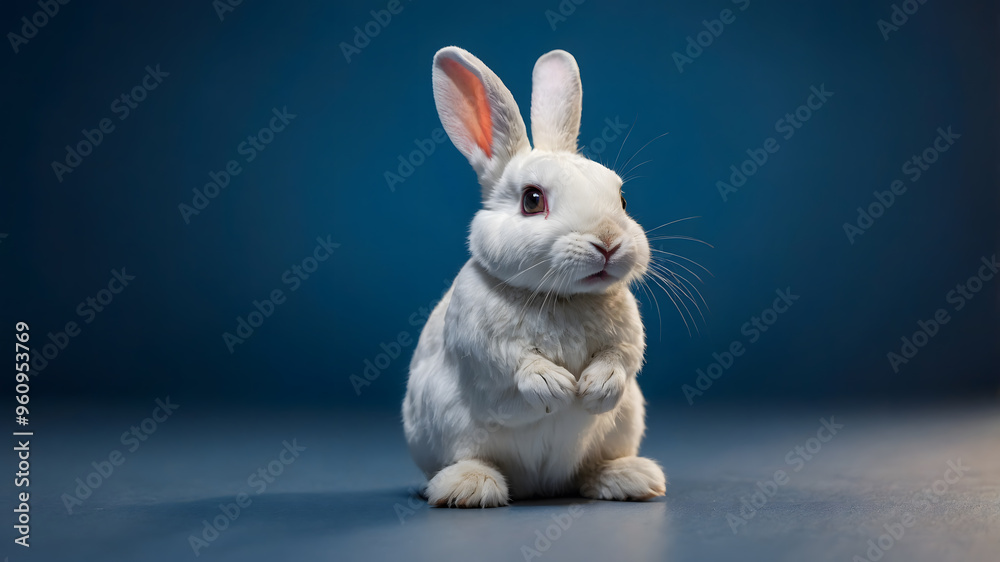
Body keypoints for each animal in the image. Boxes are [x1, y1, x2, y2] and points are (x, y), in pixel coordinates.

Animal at [402, 46, 665, 508]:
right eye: (531, 200)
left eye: (622, 198)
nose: (608, 242)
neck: (561, 297)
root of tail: (541, 486)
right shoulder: (483, 348)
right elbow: (516, 368)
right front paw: (557, 385)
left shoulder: (627, 341)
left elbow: (620, 359)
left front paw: (594, 388)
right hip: (445, 425)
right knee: (470, 460)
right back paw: (468, 487)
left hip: (625, 423)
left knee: (592, 469)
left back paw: (629, 477)